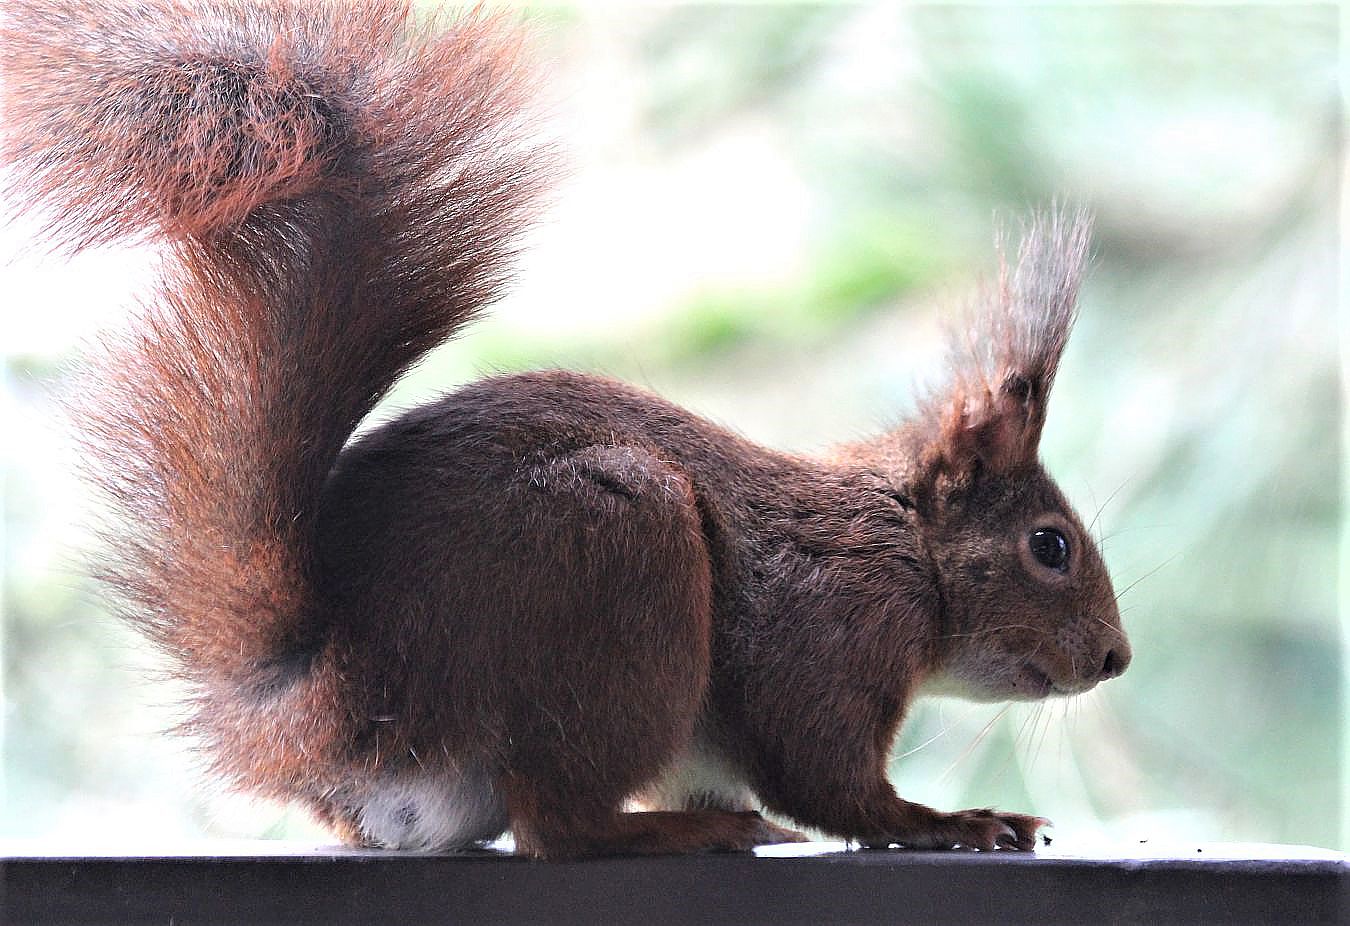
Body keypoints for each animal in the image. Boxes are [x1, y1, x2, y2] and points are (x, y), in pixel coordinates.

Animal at [5, 0, 1134, 858]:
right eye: (1050, 546)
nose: (1118, 659)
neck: (904, 546)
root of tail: (351, 696)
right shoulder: (831, 630)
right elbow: (828, 778)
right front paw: (951, 819)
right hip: (620, 563)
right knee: (560, 827)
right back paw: (678, 835)